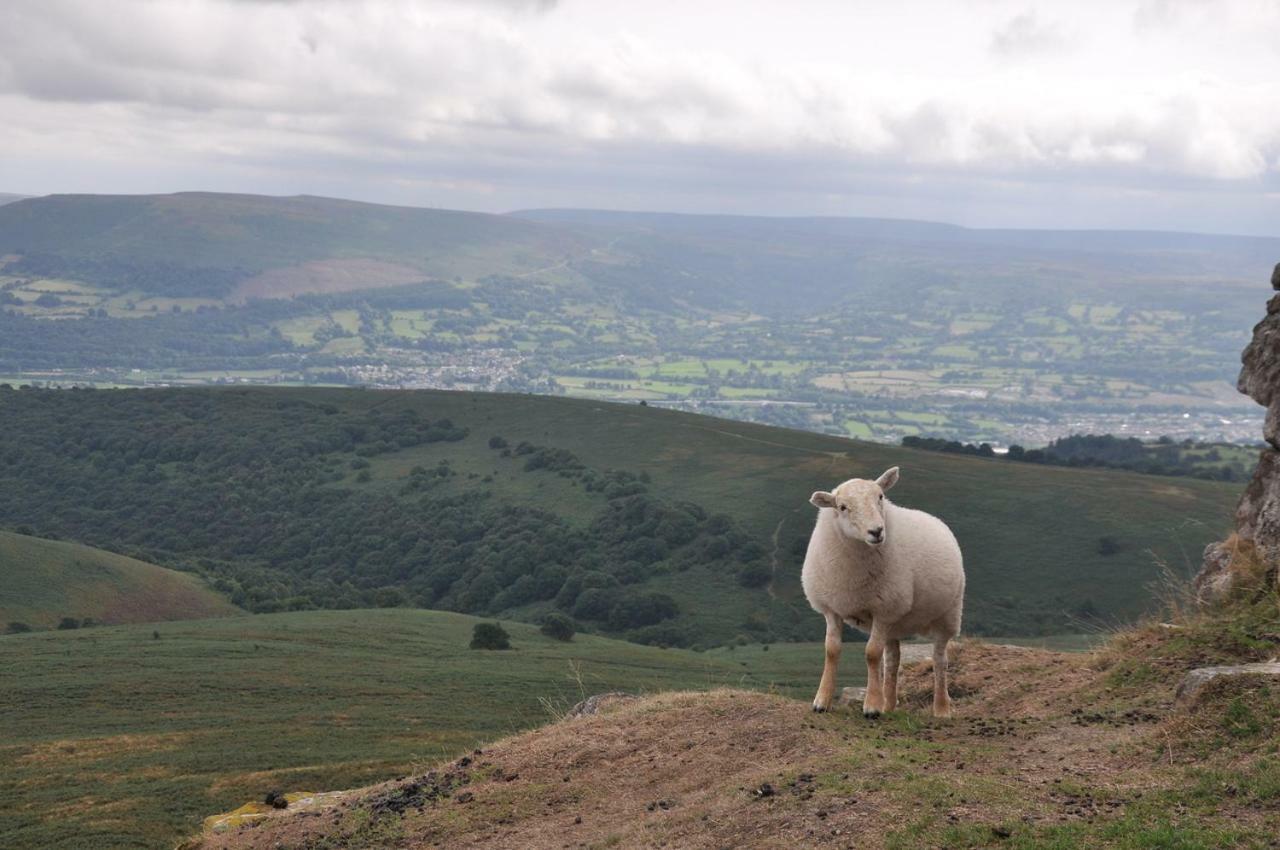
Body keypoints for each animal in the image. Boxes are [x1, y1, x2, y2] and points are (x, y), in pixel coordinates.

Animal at [803, 465, 962, 716]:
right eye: (842, 507)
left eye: (880, 496)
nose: (876, 531)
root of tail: (935, 519)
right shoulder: (833, 608)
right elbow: (831, 650)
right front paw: (822, 701)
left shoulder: (883, 609)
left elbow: (871, 653)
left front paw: (872, 706)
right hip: (895, 623)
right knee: (893, 660)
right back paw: (889, 704)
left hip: (947, 614)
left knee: (939, 659)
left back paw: (941, 709)